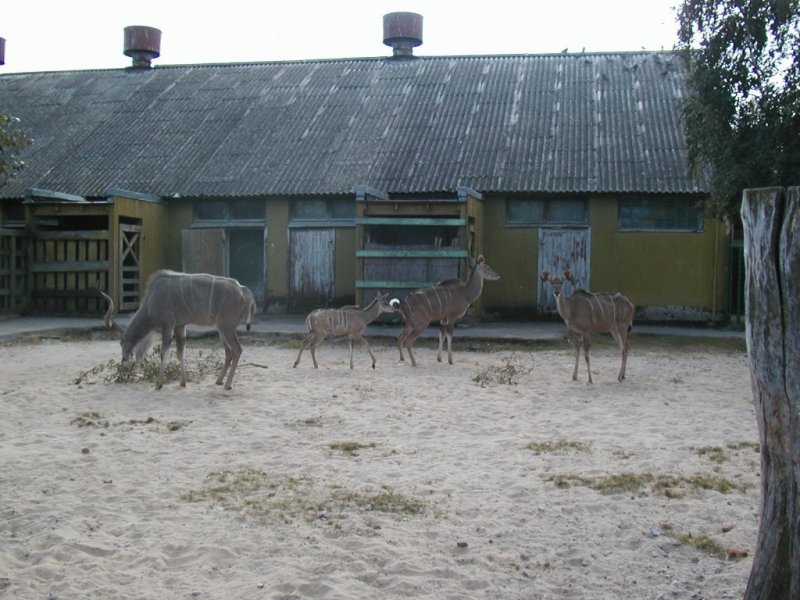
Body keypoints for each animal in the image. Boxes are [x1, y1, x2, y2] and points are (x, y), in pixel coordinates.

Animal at [101, 270, 257, 390]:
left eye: (121, 343)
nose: (123, 363)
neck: (150, 303)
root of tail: (245, 291)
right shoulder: (180, 326)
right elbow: (180, 352)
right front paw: (183, 382)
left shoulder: (168, 325)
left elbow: (164, 353)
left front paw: (158, 384)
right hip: (222, 329)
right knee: (229, 352)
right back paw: (219, 381)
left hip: (226, 327)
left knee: (237, 350)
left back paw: (227, 385)